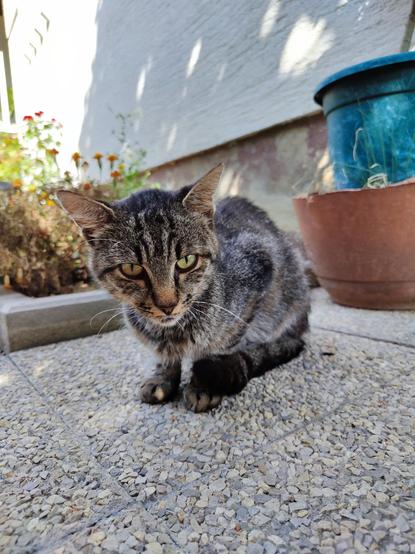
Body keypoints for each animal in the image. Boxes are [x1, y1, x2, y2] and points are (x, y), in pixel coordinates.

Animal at [57, 164, 308, 410]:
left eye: (186, 261)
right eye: (131, 269)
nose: (167, 305)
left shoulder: (256, 278)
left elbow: (217, 348)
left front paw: (202, 385)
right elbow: (164, 355)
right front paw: (163, 377)